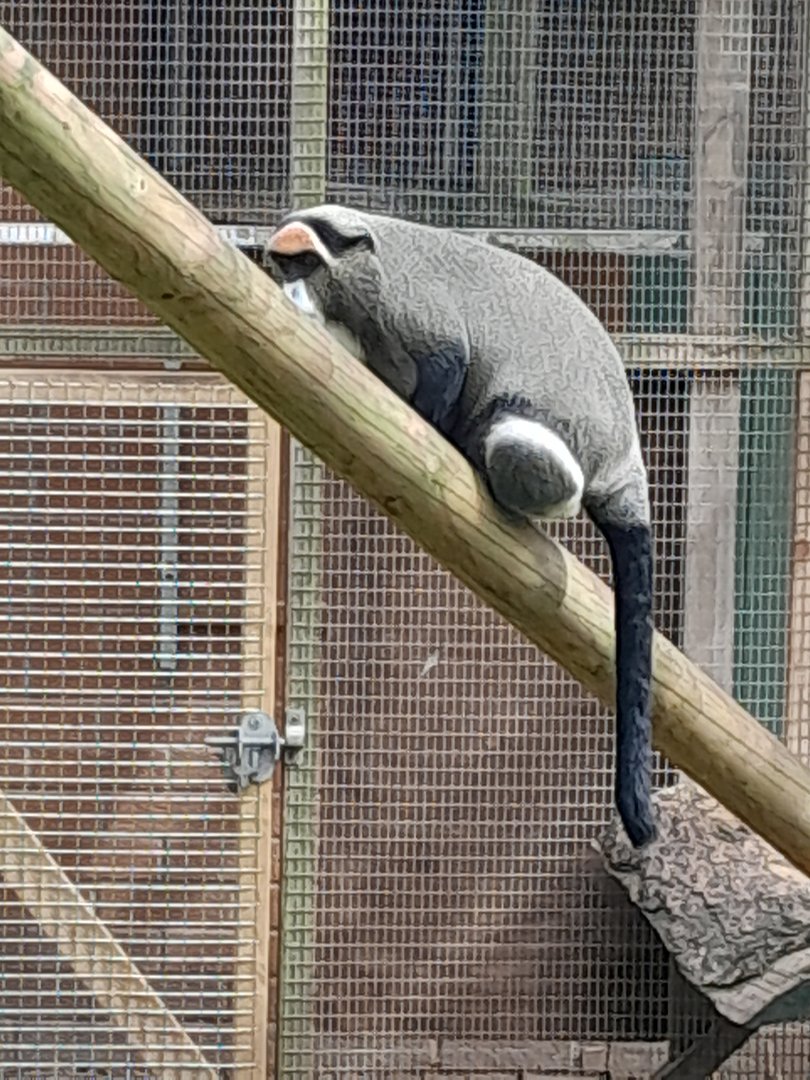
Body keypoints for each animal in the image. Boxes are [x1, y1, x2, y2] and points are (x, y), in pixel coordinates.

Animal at [259, 204, 656, 848]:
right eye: (282, 265)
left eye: (306, 265)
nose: (289, 291)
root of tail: (628, 468)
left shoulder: (412, 306)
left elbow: (450, 361)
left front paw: (435, 426)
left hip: (557, 453)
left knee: (519, 441)